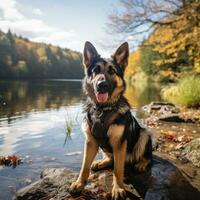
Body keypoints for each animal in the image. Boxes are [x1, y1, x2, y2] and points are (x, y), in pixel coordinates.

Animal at [69, 41, 152, 199]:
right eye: (95, 71)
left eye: (112, 71)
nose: (102, 85)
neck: (103, 109)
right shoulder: (90, 141)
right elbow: (84, 166)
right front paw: (79, 183)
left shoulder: (120, 143)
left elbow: (118, 170)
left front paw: (118, 188)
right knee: (110, 159)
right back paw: (101, 162)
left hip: (144, 134)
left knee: (148, 157)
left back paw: (141, 164)